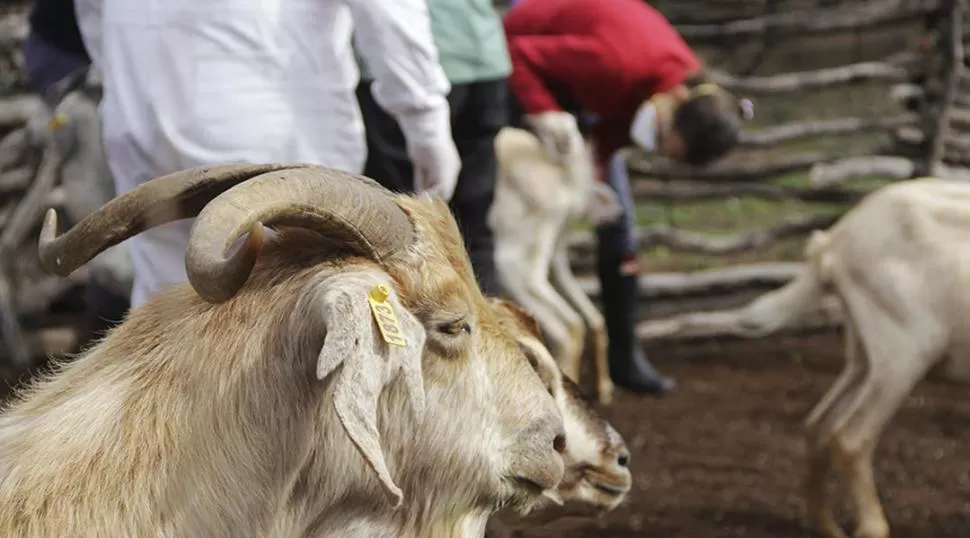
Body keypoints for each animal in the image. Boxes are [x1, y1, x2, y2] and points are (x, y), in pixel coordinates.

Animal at [724, 176, 968, 536]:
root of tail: (834, 243)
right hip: (903, 349)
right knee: (852, 437)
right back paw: (871, 526)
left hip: (864, 353)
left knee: (819, 425)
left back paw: (824, 524)